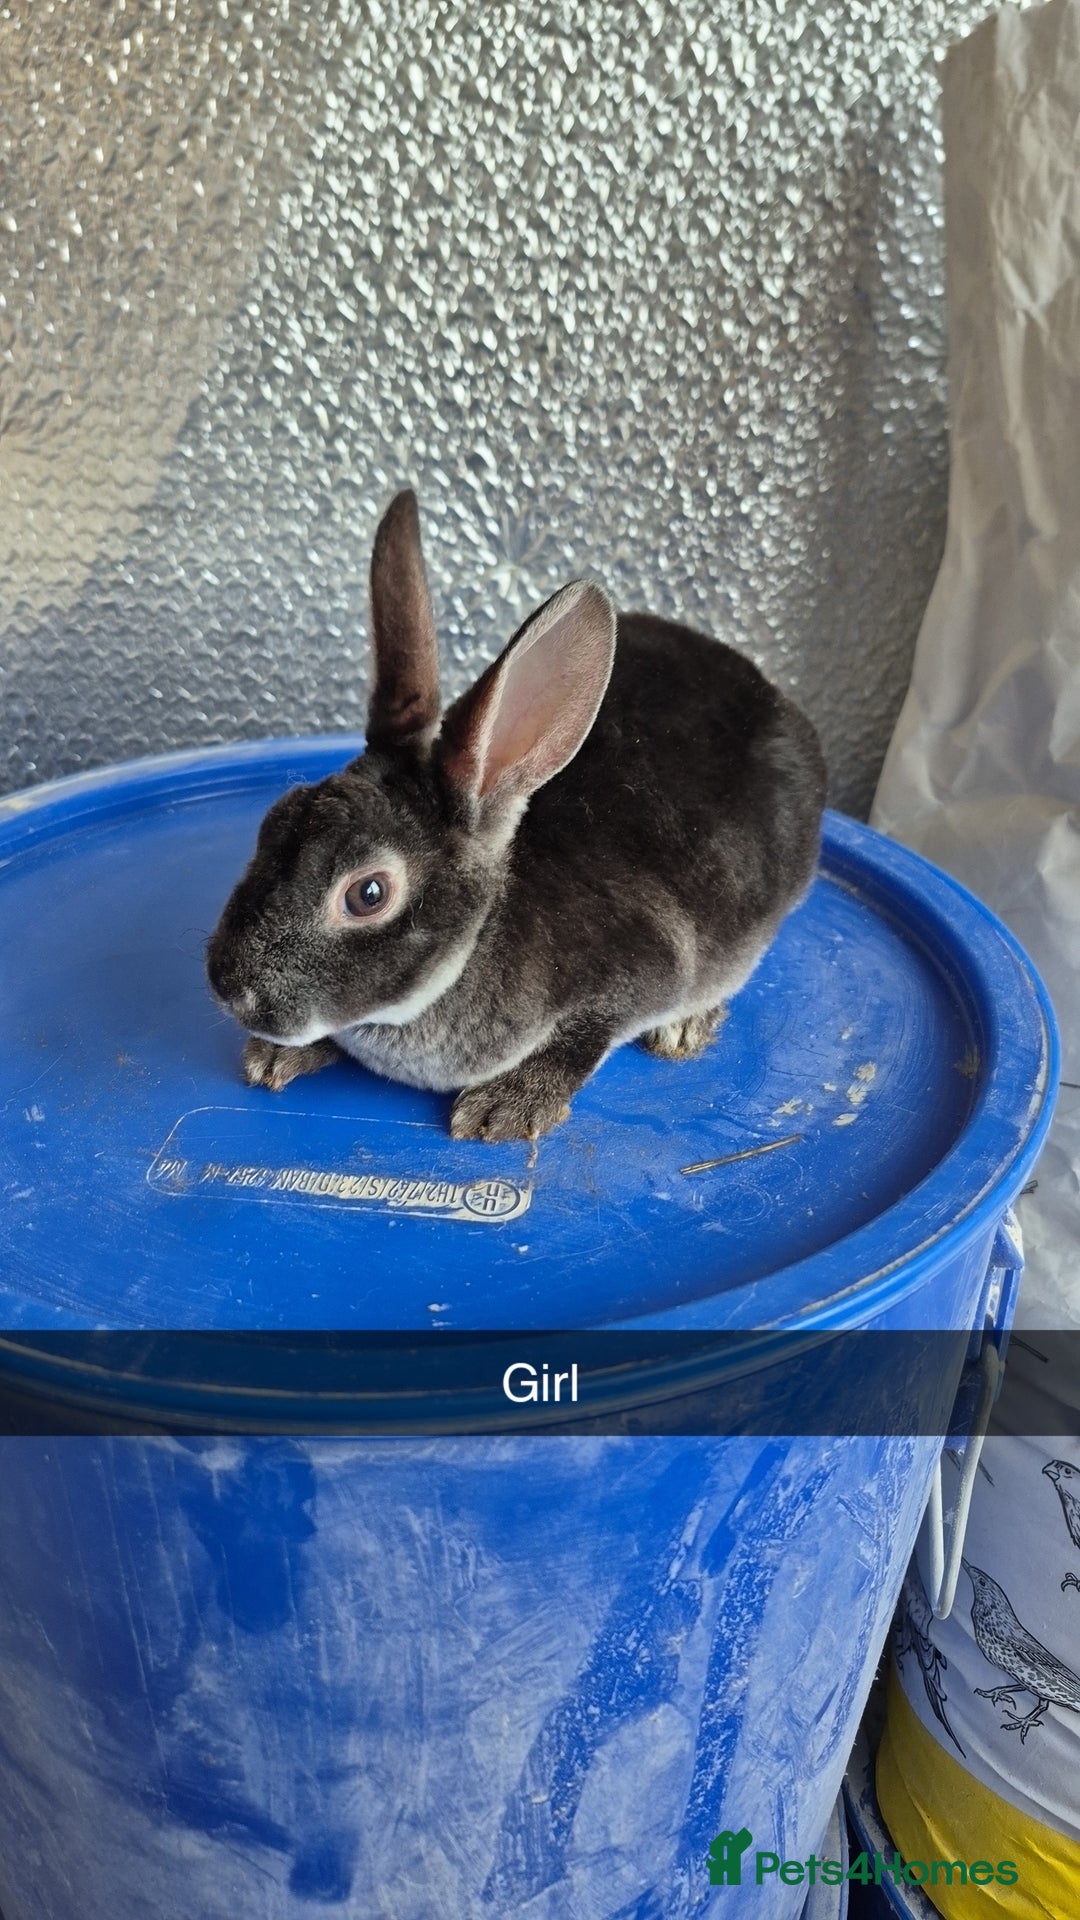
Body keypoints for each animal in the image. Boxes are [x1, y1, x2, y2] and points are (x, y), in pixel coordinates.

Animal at [206, 490, 826, 1142]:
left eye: (368, 893)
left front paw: (506, 1107)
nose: (228, 989)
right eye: (273, 821)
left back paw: (686, 1026)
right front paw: (275, 1055)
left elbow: (583, 1039)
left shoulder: (641, 975)